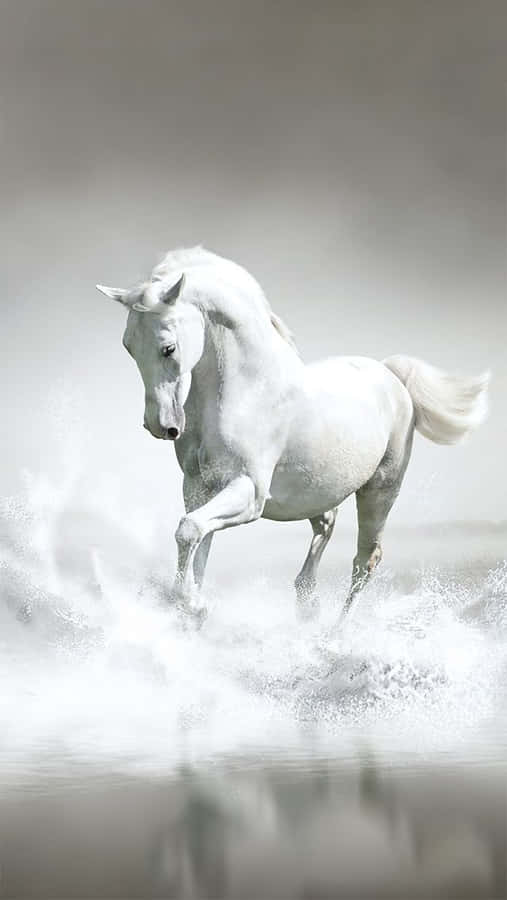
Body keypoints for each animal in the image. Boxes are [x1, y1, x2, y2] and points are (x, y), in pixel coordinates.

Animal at [97, 246, 489, 624]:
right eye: (128, 346)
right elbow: (197, 542)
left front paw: (192, 605)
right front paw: (190, 608)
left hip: (380, 490)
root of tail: (391, 376)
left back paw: (335, 633)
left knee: (365, 560)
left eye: (168, 348)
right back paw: (307, 603)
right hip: (317, 491)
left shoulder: (249, 492)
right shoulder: (198, 487)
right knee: (327, 526)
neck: (247, 391)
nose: (160, 425)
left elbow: (189, 530)